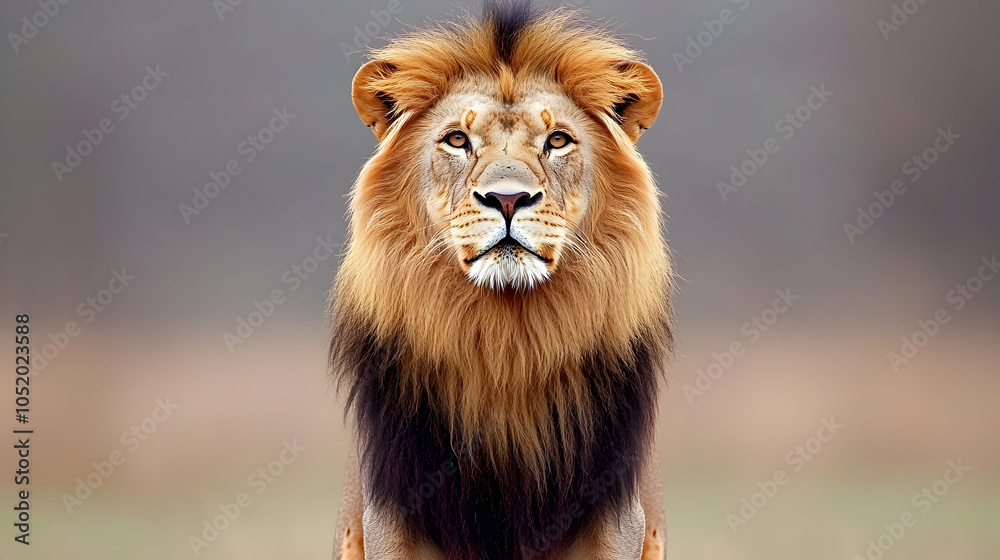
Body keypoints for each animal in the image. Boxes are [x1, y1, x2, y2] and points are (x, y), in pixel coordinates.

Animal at [330, 2, 673, 558]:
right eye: (457, 139)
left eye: (557, 140)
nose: (508, 198)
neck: (507, 343)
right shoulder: (388, 513)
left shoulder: (620, 516)